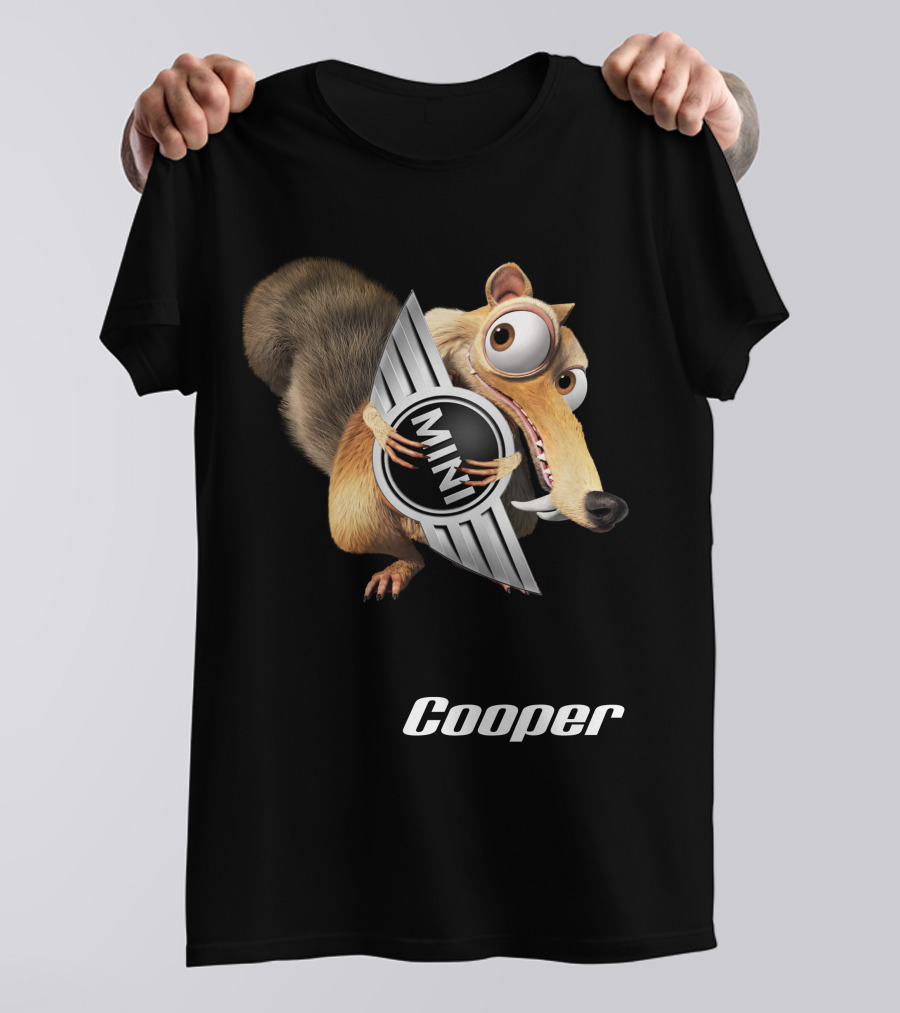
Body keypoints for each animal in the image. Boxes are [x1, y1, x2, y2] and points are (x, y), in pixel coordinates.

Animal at [241, 256, 628, 600]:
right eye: (503, 337)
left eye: (568, 382)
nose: (605, 505)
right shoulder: (433, 334)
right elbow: (376, 405)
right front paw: (386, 432)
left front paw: (502, 463)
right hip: (359, 515)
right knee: (401, 549)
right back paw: (403, 567)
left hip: (514, 516)